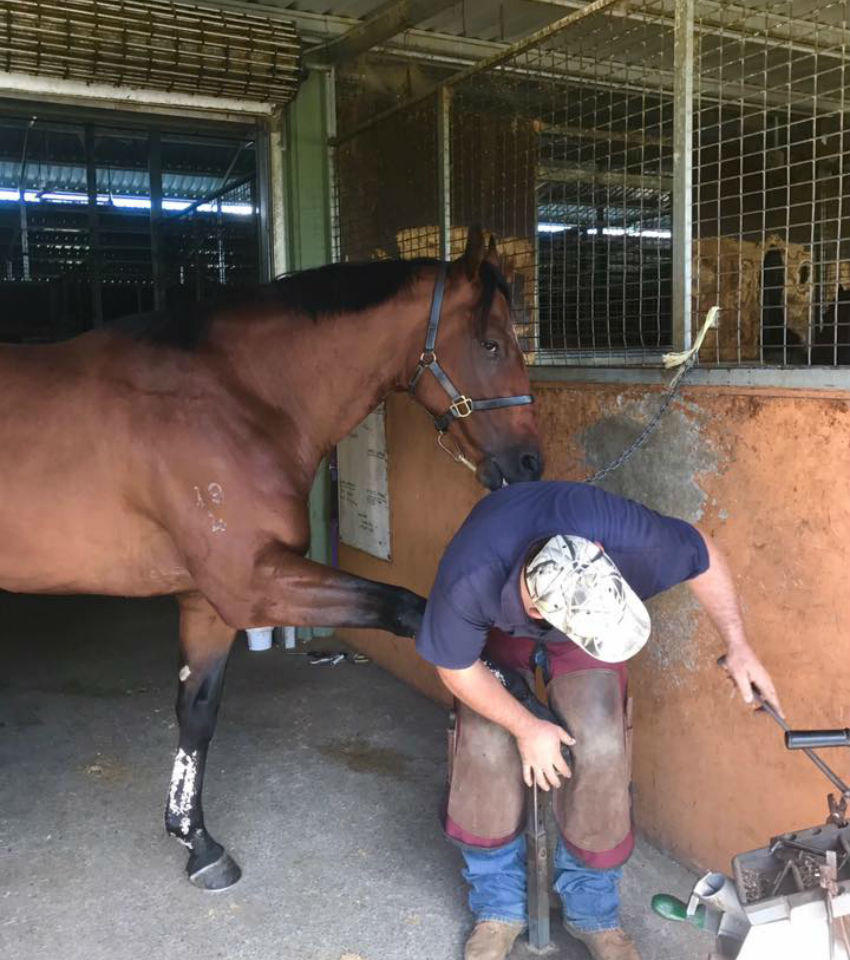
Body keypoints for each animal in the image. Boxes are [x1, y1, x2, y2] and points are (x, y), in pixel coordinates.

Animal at [0, 226, 542, 890]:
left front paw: (197, 842)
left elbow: (197, 711)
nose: (529, 464)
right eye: (492, 344)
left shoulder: (207, 601)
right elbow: (406, 607)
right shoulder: (253, 584)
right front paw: (513, 691)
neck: (235, 399)